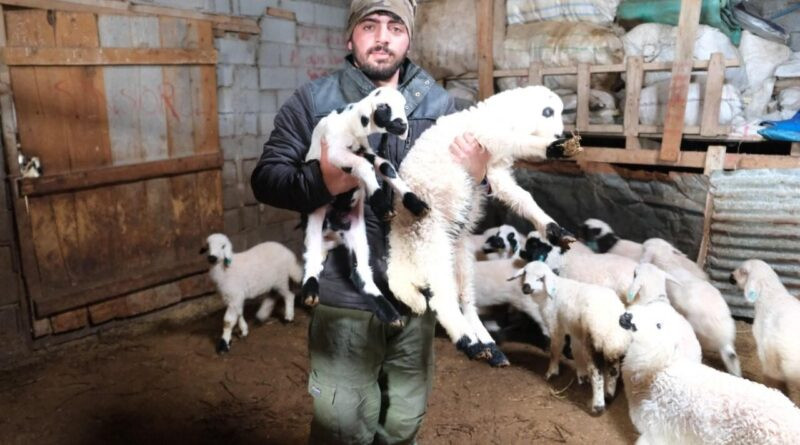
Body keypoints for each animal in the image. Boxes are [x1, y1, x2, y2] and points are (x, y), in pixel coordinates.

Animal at [384, 85, 580, 366]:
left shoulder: (495, 172)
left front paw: (555, 230)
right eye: (547, 111)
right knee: (442, 299)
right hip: (431, 239)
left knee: (465, 298)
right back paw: (468, 342)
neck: (497, 116)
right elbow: (520, 142)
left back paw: (485, 343)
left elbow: (524, 198)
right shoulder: (490, 138)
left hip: (459, 254)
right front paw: (556, 147)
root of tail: (399, 241)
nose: (558, 134)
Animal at [512, 260, 632, 412]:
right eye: (525, 273)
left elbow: (555, 350)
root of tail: (613, 334)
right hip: (612, 349)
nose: (526, 287)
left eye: (540, 278)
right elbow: (575, 350)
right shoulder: (574, 329)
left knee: (597, 373)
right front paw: (581, 374)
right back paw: (608, 395)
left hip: (593, 343)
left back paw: (598, 405)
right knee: (613, 371)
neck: (550, 293)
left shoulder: (556, 326)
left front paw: (551, 372)